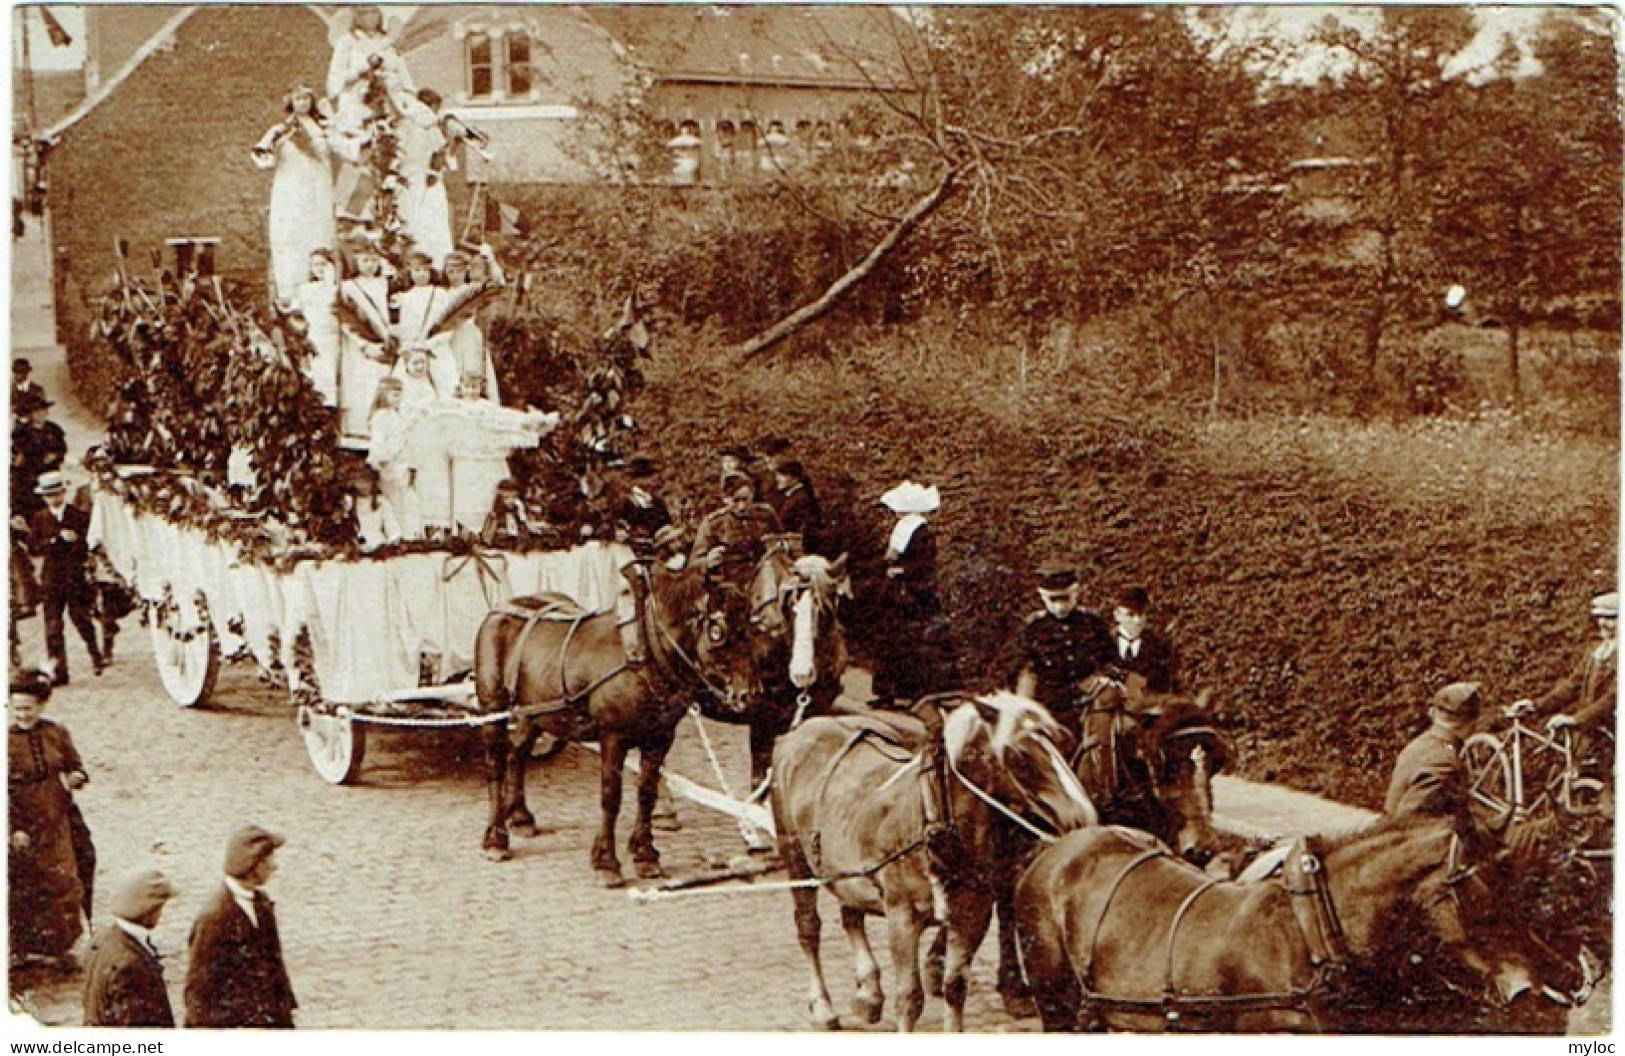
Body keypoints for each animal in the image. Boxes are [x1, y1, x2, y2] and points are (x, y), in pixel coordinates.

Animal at [474, 555, 760, 883]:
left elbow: (647, 793)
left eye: (751, 625)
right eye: (719, 632)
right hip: (492, 705)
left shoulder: (660, 738)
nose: (749, 693)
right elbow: (611, 796)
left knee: (517, 754)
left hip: (535, 712)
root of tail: (500, 609)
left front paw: (645, 854)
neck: (644, 652)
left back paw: (520, 816)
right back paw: (495, 837)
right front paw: (606, 862)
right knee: (495, 764)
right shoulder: (613, 736)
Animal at [767, 692, 1098, 1026]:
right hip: (796, 859)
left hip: (846, 870)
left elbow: (955, 987)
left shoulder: (971, 914)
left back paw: (868, 993)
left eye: (1065, 740)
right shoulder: (902, 915)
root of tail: (799, 731)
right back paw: (822, 1006)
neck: (933, 821)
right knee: (808, 928)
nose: (1081, 816)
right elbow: (909, 998)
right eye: (1018, 754)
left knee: (851, 913)